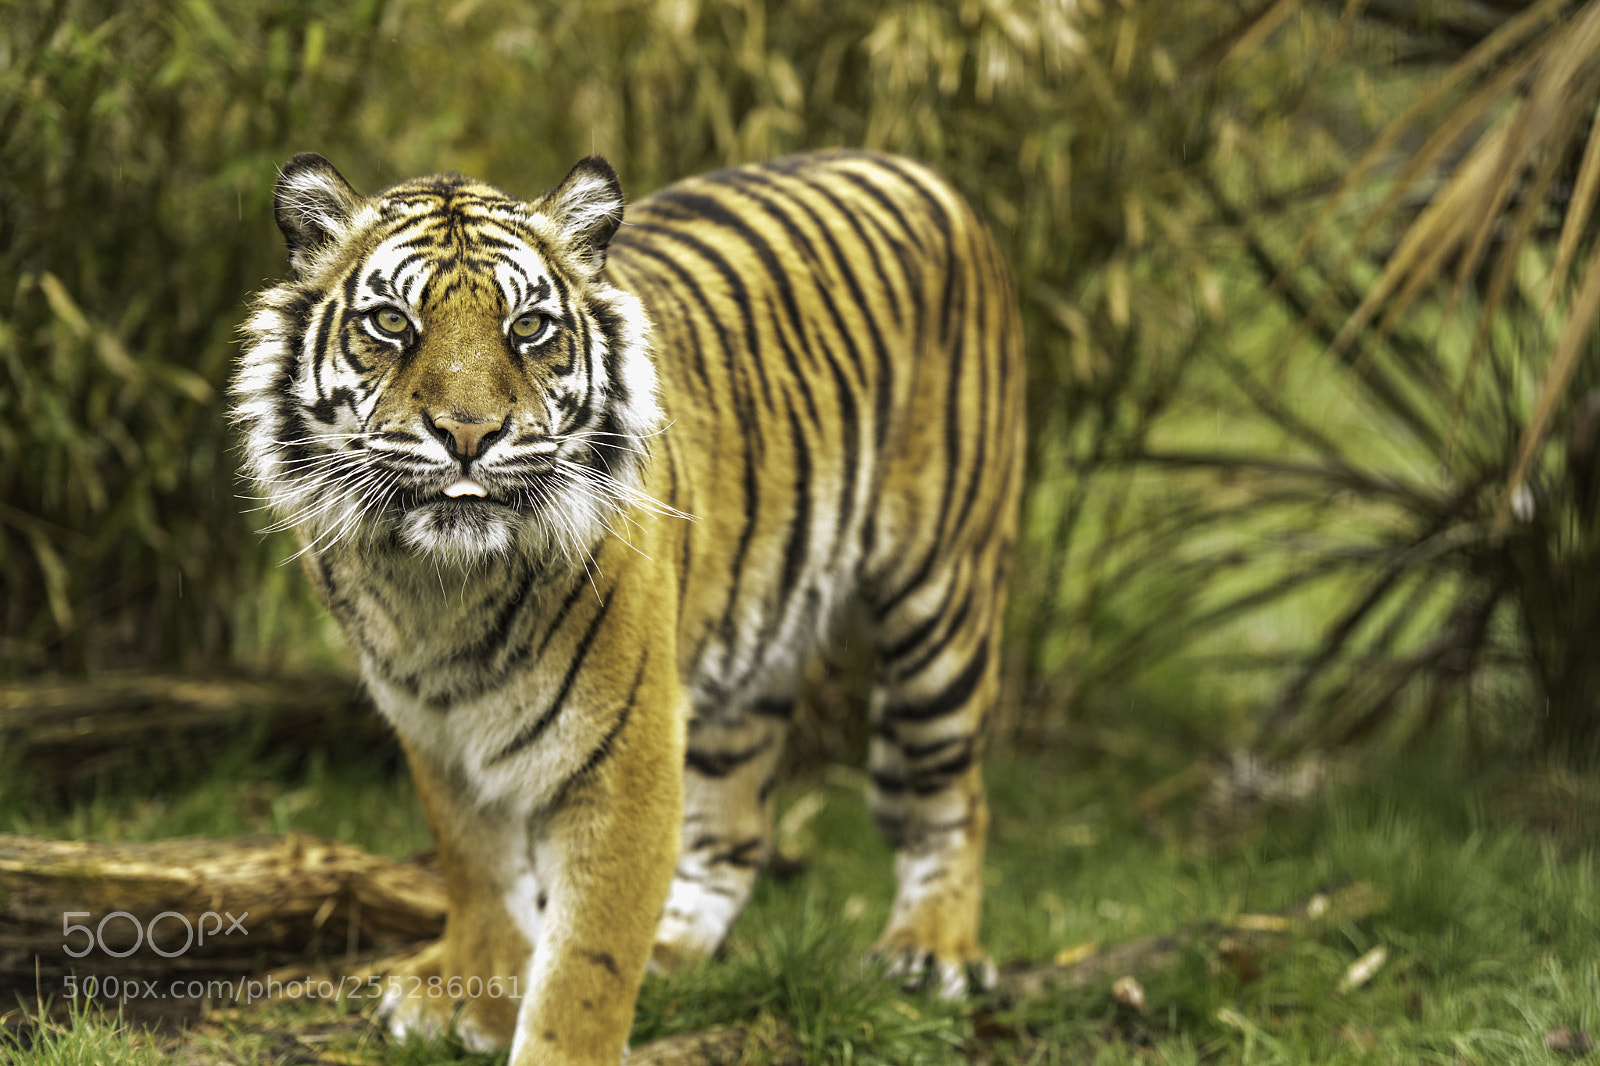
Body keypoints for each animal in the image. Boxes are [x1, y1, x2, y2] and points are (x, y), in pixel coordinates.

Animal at [234, 148, 1024, 1065]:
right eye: (393, 323)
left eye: (529, 328)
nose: (468, 434)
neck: (439, 586)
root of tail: (911, 165)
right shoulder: (433, 730)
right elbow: (478, 869)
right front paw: (479, 994)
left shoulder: (626, 750)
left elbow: (589, 955)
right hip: (751, 644)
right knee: (735, 824)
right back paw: (675, 949)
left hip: (941, 602)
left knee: (953, 799)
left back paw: (931, 952)